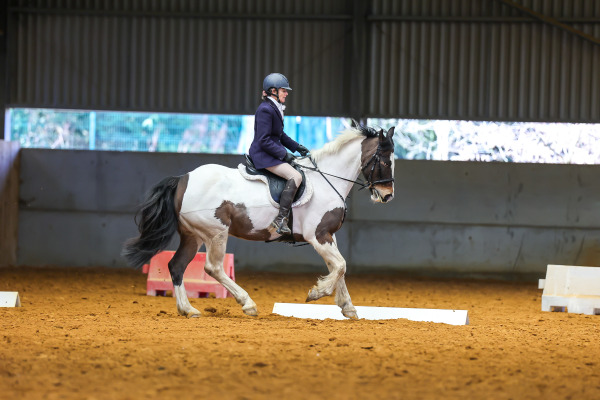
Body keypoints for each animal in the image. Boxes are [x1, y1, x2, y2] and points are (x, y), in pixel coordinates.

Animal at [121, 122, 394, 318]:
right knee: (213, 267)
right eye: (384, 160)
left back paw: (188, 309)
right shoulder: (317, 236)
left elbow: (338, 268)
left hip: (193, 235)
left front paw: (348, 307)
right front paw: (317, 293)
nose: (387, 195)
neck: (326, 179)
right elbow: (340, 266)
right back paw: (247, 304)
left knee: (177, 266)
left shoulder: (328, 235)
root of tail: (183, 179)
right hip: (215, 233)